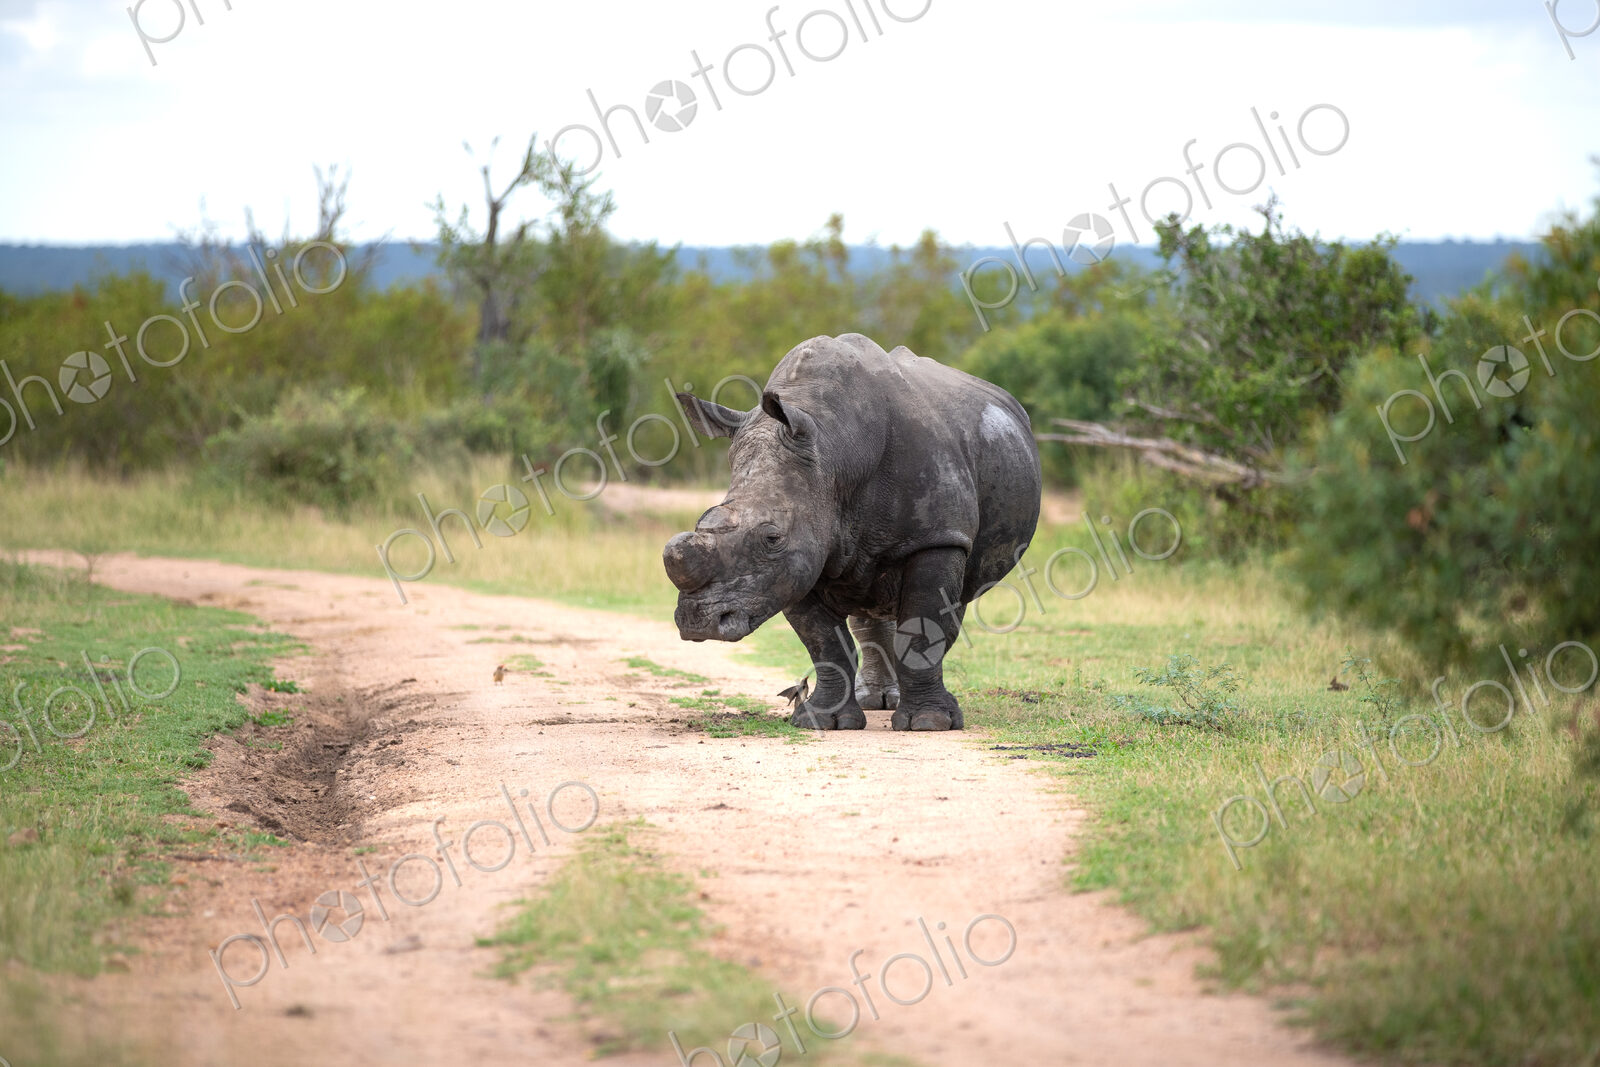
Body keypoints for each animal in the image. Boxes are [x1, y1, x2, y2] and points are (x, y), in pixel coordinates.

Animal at [662, 334, 1041, 731]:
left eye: (771, 538)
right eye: (703, 520)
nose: (698, 622)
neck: (834, 452)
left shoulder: (937, 536)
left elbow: (922, 627)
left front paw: (929, 722)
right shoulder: (802, 557)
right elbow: (824, 642)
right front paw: (821, 721)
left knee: (951, 602)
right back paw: (877, 700)